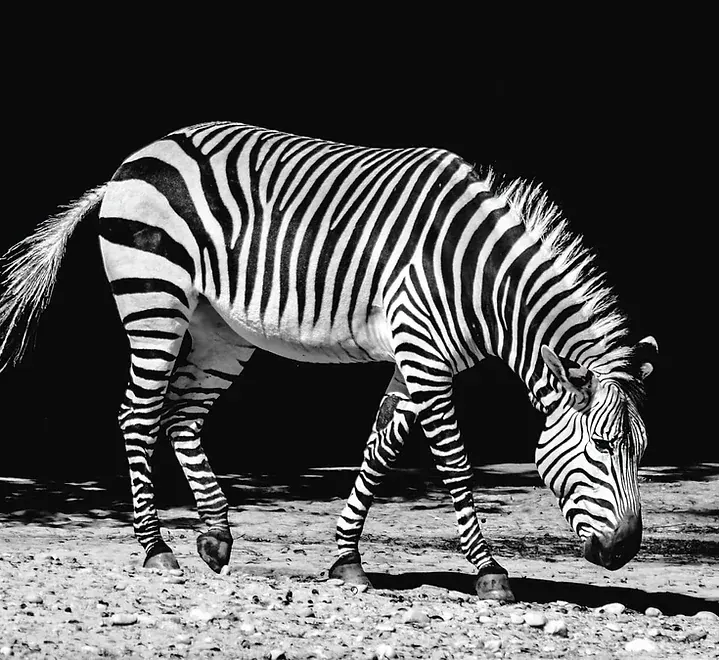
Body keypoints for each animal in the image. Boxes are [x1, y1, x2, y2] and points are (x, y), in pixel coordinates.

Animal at [0, 121, 657, 602]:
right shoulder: (424, 353)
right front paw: (489, 571)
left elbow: (379, 451)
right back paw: (155, 549)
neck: (480, 278)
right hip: (153, 296)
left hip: (220, 327)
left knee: (182, 416)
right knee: (138, 414)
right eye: (601, 447)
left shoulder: (415, 357)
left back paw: (214, 538)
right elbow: (455, 464)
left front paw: (347, 561)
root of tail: (140, 154)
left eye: (641, 452)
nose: (625, 552)